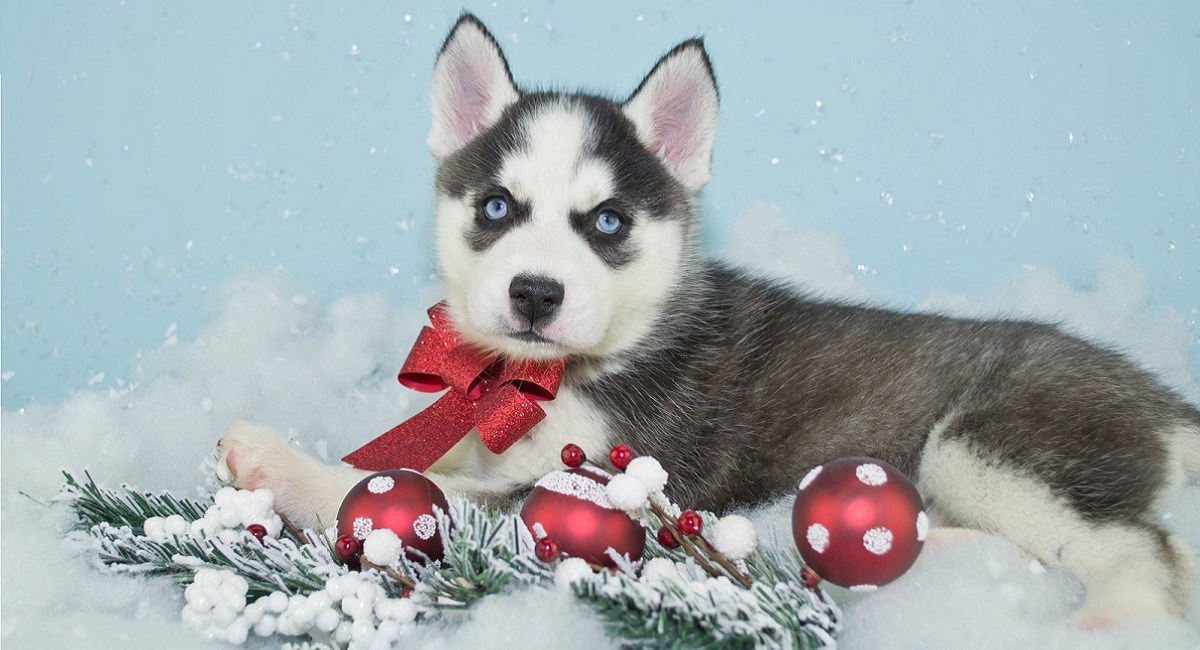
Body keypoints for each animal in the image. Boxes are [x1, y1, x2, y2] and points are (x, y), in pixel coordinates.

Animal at [218, 12, 1200, 623]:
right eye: (496, 207)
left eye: (608, 222)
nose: (535, 293)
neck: (551, 378)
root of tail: (1151, 396)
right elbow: (441, 459)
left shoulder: (623, 488)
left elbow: (417, 492)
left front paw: (288, 465)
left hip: (996, 443)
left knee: (1142, 548)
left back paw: (1117, 616)